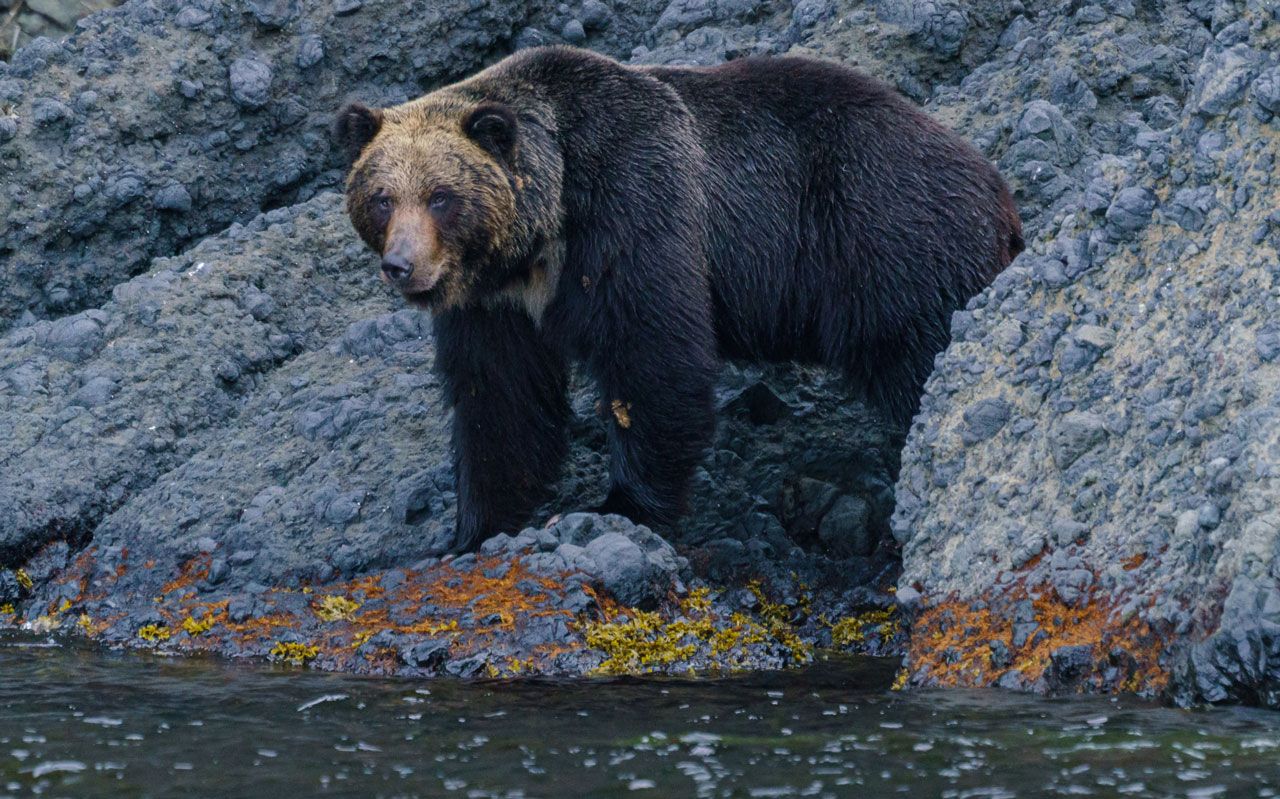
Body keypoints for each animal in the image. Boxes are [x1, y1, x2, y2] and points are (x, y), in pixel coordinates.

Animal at [335, 46, 1024, 553]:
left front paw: (620, 506)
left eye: (442, 196)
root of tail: (995, 184)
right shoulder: (492, 305)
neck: (539, 242)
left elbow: (654, 360)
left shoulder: (632, 211)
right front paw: (471, 530)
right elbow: (500, 399)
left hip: (885, 234)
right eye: (382, 197)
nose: (401, 266)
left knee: (920, 352)